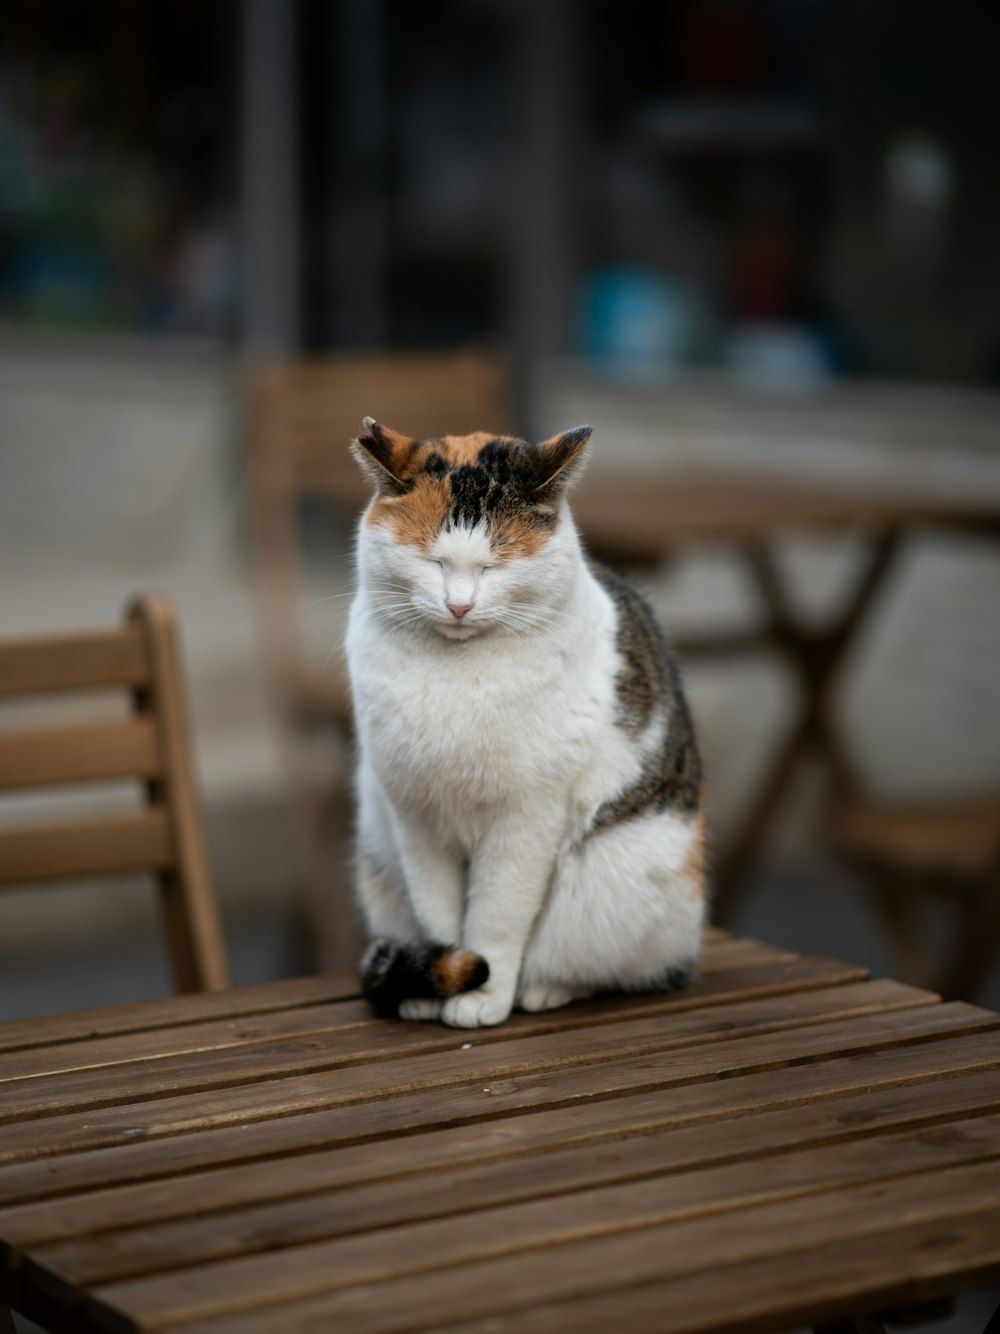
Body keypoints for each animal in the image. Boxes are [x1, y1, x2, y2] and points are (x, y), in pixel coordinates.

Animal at [349, 416, 709, 1029]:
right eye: (432, 562)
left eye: (495, 564)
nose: (459, 606)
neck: (455, 674)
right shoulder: (415, 818)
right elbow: (439, 911)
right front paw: (440, 980)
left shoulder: (525, 821)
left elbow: (497, 916)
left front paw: (484, 995)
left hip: (622, 877)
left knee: (605, 964)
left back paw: (544, 988)